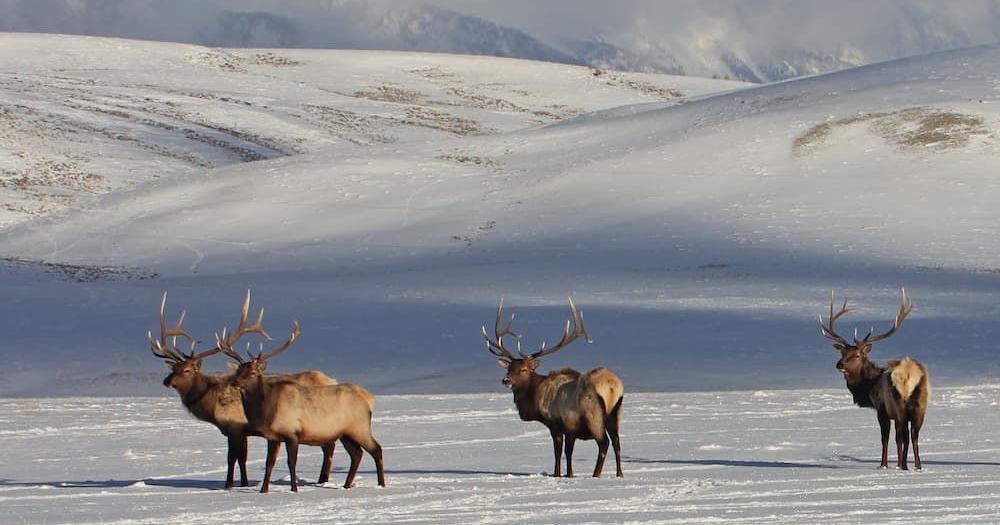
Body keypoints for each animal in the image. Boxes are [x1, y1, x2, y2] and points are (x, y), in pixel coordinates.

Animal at [150, 291, 336, 489]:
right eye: (173, 368)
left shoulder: (235, 427)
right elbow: (243, 458)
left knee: (329, 447)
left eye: (187, 370)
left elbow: (232, 458)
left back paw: (323, 480)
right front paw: (244, 483)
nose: (166, 381)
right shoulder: (243, 432)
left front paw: (229, 484)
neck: (211, 404)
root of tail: (332, 380)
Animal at [219, 318, 385, 493]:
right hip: (345, 433)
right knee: (357, 454)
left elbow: (291, 462)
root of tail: (369, 399)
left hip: (359, 427)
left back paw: (381, 484)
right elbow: (269, 463)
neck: (267, 411)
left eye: (252, 373)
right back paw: (346, 485)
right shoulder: (273, 437)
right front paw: (263, 490)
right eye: (238, 370)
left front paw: (294, 489)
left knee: (376, 449)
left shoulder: (293, 433)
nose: (233, 382)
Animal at [482, 297, 624, 478]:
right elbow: (565, 452)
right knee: (617, 442)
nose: (505, 380)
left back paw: (595, 475)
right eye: (509, 369)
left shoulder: (560, 423)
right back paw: (619, 474)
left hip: (593, 414)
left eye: (524, 369)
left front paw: (562, 474)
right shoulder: (566, 428)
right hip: (615, 412)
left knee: (604, 443)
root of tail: (612, 386)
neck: (536, 398)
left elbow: (561, 452)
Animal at [819, 289, 930, 471]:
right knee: (914, 435)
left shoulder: (882, 409)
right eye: (843, 353)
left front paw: (884, 465)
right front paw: (897, 464)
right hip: (920, 405)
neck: (869, 385)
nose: (839, 364)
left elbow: (886, 438)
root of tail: (909, 373)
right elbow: (897, 439)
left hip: (899, 404)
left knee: (906, 436)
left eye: (857, 355)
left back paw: (905, 466)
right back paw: (917, 466)